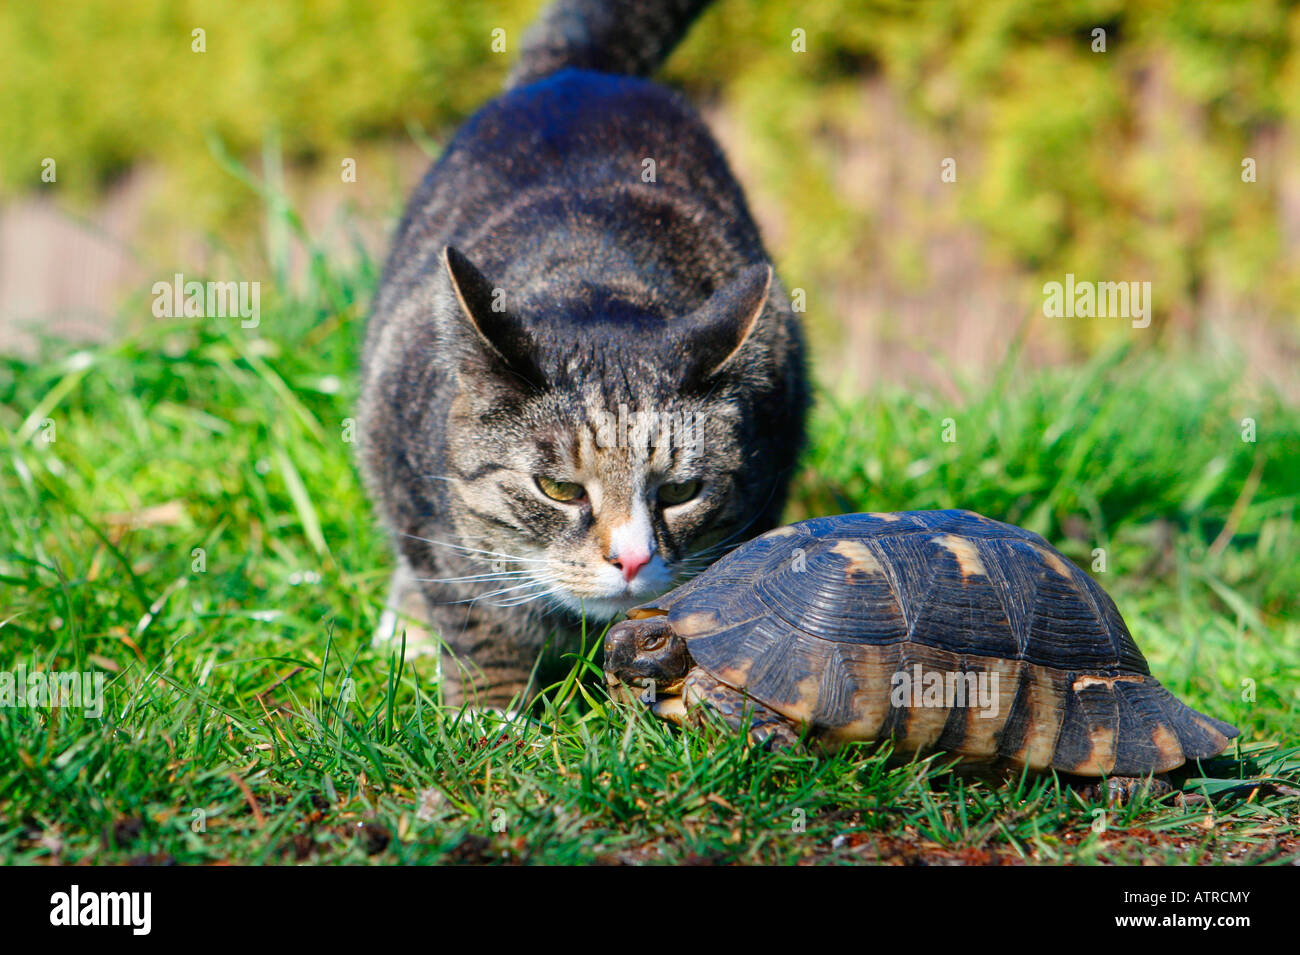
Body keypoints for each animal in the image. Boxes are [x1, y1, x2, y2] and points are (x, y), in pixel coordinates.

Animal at [361, 0, 806, 712]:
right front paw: (491, 716)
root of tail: (579, 73)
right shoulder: (414, 494)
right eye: (560, 489)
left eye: (681, 491)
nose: (630, 559)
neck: (596, 277)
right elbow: (475, 613)